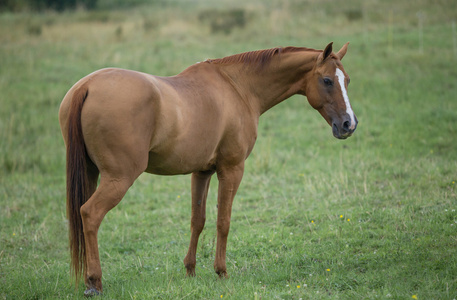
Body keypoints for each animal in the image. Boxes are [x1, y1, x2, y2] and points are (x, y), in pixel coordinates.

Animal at [58, 41, 356, 296]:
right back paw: (94, 281)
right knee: (90, 214)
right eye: (327, 80)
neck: (237, 87)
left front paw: (190, 270)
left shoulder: (201, 172)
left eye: (347, 81)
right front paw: (221, 271)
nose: (349, 124)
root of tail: (87, 86)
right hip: (118, 179)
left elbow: (197, 220)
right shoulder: (231, 170)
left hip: (92, 174)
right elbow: (223, 221)